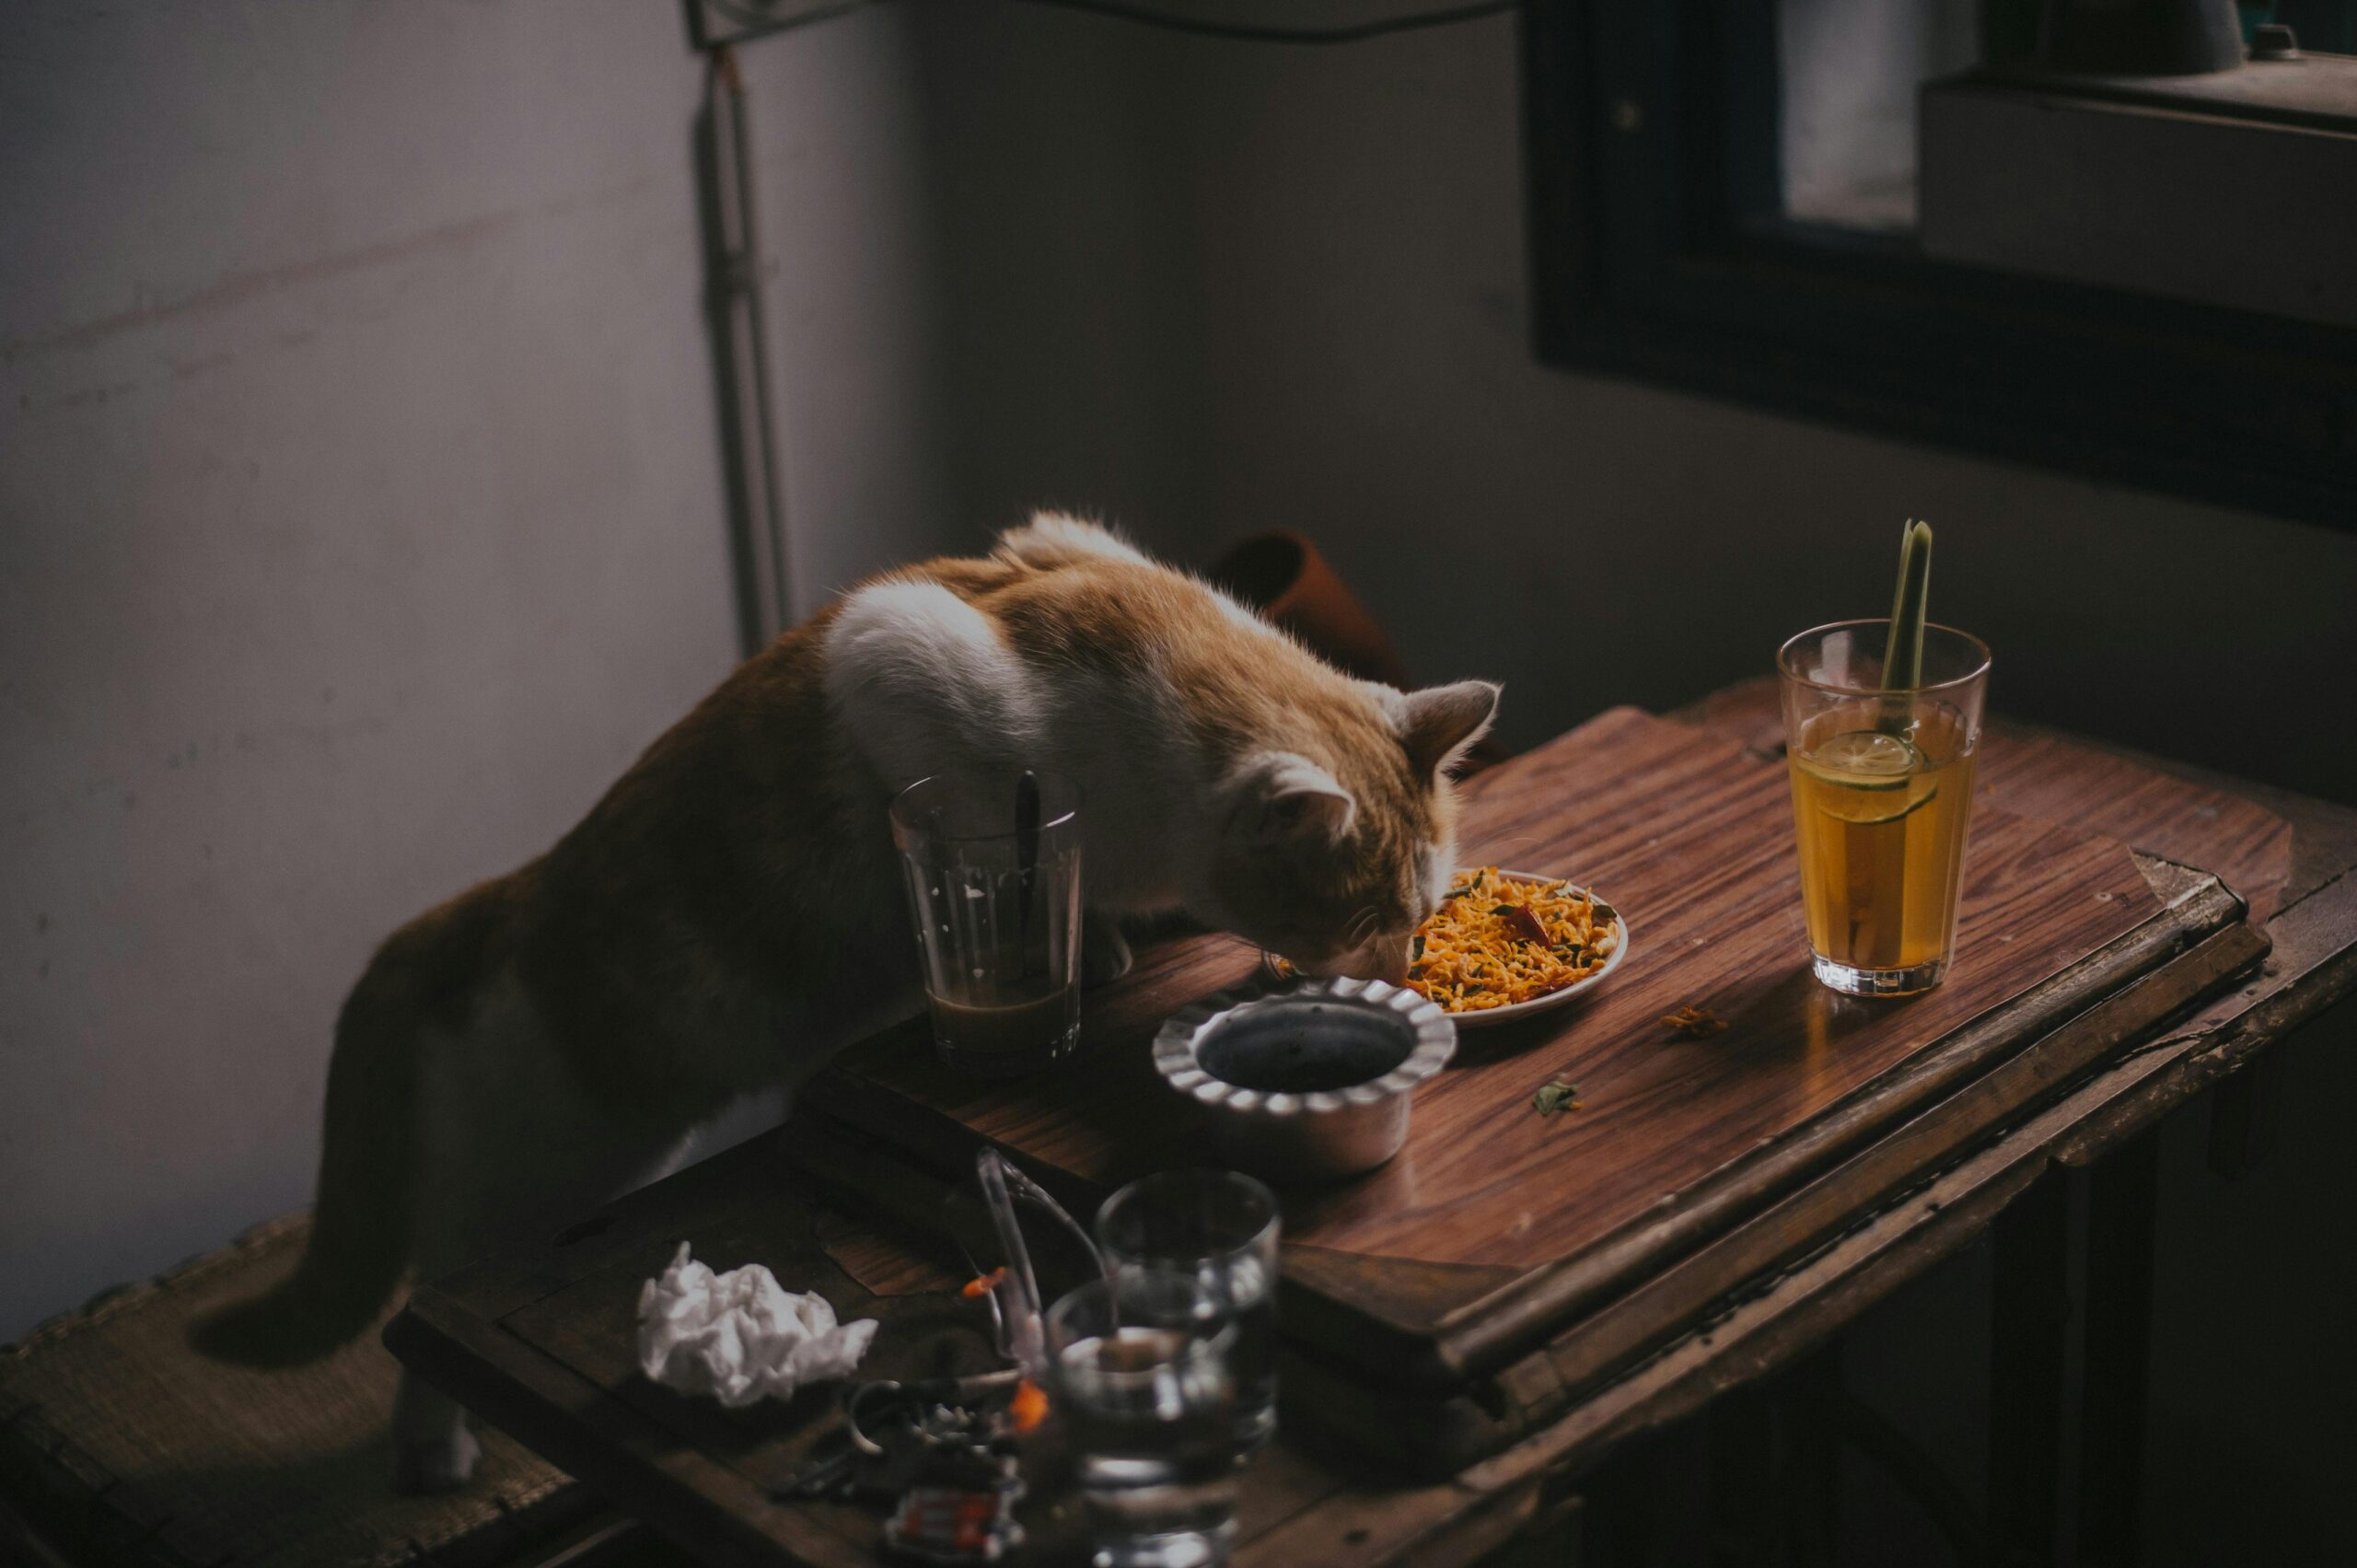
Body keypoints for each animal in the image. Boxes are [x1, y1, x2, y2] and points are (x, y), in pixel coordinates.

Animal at [198, 516, 1489, 1490]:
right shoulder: (899, 663)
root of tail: (493, 902)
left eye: (1424, 910)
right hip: (522, 1189)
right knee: (422, 1308)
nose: (1403, 967)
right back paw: (433, 1446)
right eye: (1358, 929)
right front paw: (1094, 945)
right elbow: (1016, 873)